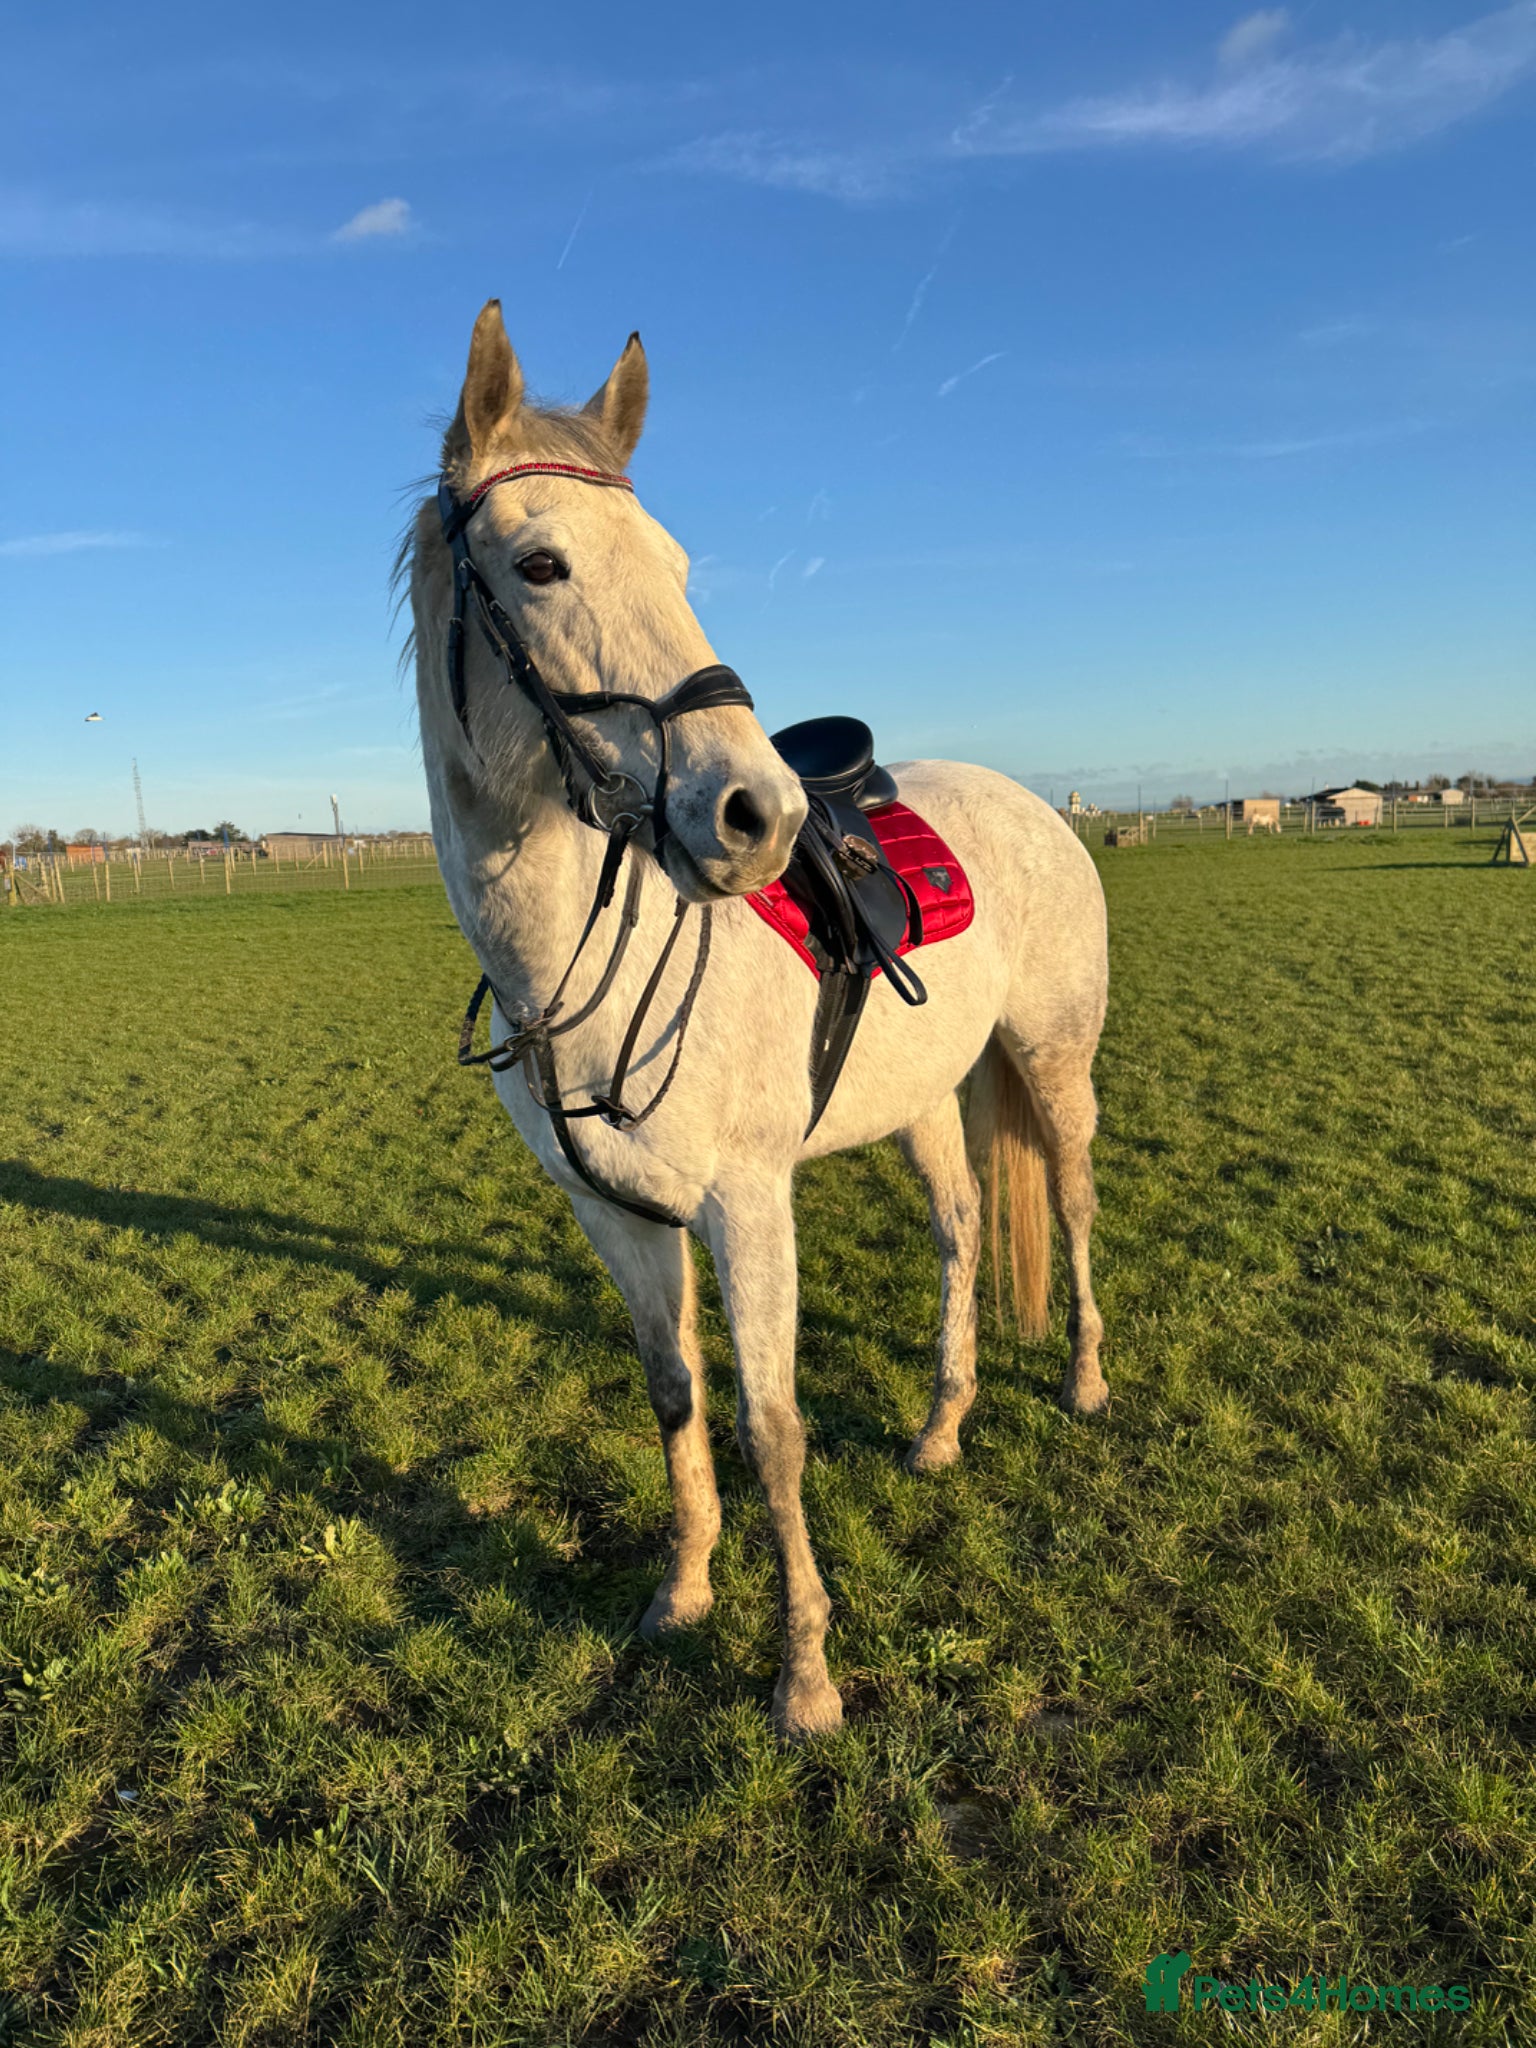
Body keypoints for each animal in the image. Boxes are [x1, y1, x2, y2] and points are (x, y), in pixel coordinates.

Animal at [405, 301, 1110, 1739]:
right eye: (542, 563)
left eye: (677, 563)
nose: (759, 814)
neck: (576, 969)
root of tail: (1035, 801)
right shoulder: (615, 1216)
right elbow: (676, 1396)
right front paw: (683, 1593)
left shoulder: (747, 1204)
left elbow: (771, 1424)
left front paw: (805, 1676)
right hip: (925, 1102)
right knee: (963, 1231)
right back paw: (943, 1426)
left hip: (1054, 1060)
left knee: (1068, 1203)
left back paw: (1082, 1381)